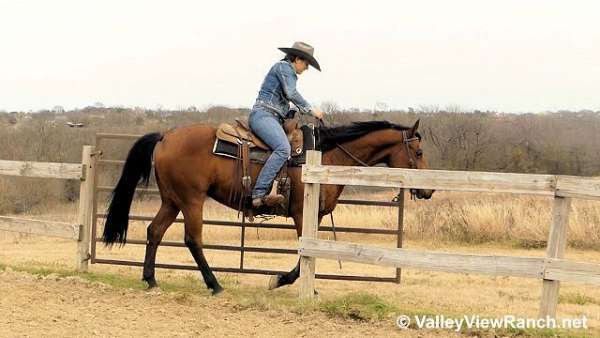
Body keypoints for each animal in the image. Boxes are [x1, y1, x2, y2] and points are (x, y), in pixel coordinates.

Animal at [102, 120, 432, 294]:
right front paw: (285, 281)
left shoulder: (315, 217)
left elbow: (309, 252)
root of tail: (166, 136)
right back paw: (214, 284)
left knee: (154, 231)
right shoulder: (301, 214)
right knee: (192, 239)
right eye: (418, 151)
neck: (326, 158)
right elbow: (304, 251)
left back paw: (151, 279)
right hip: (191, 200)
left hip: (172, 201)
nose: (427, 189)